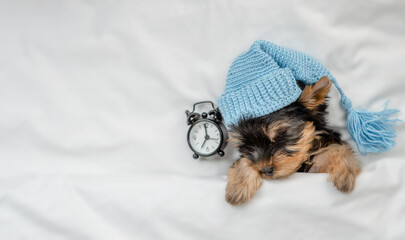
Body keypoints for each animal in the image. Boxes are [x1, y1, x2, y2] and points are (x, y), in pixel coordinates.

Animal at [226, 76, 362, 205]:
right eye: (246, 146)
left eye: (280, 136)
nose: (266, 170)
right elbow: (245, 160)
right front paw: (237, 187)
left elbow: (340, 147)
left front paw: (345, 173)